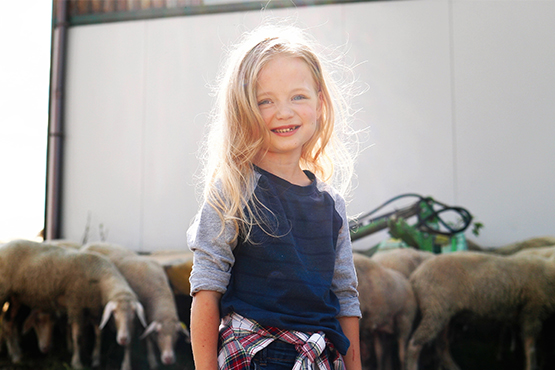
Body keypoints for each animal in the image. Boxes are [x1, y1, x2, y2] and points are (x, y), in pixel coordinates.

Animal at [0, 238, 147, 368]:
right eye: (115, 313)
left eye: (134, 314)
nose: (124, 339)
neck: (100, 281)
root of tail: (5, 246)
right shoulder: (76, 304)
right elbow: (77, 336)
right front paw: (77, 363)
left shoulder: (95, 309)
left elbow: (99, 334)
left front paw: (96, 360)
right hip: (3, 291)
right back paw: (14, 355)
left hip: (15, 296)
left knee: (8, 322)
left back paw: (16, 354)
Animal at [406, 251, 555, 370]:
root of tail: (415, 275)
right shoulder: (533, 311)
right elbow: (531, 348)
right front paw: (532, 366)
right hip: (436, 308)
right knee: (415, 344)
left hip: (445, 313)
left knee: (441, 346)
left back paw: (453, 367)